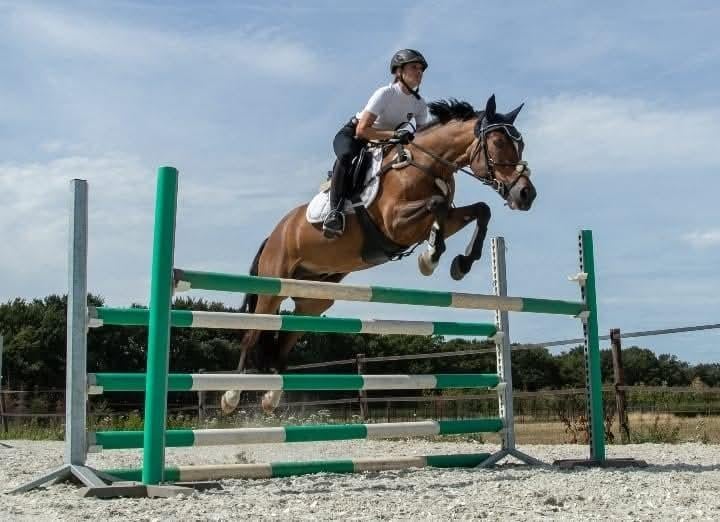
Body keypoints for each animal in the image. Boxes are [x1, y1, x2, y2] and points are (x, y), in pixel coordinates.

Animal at [221, 95, 536, 414]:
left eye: (520, 144)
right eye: (498, 142)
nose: (526, 194)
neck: (427, 164)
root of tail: (274, 234)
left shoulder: (435, 219)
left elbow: (479, 210)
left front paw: (460, 263)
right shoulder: (395, 223)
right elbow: (437, 204)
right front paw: (430, 257)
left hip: (315, 296)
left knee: (286, 337)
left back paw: (271, 397)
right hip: (273, 286)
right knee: (251, 334)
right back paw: (231, 395)